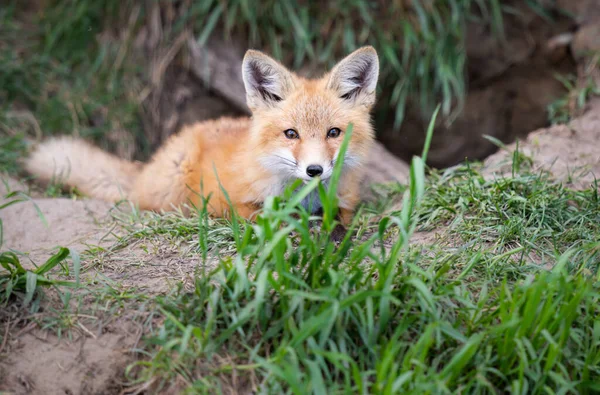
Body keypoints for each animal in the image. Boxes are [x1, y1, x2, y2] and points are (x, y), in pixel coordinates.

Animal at [25, 46, 380, 232]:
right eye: (291, 134)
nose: (314, 170)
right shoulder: (231, 201)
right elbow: (263, 217)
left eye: (333, 133)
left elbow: (340, 220)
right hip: (173, 187)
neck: (304, 198)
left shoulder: (344, 204)